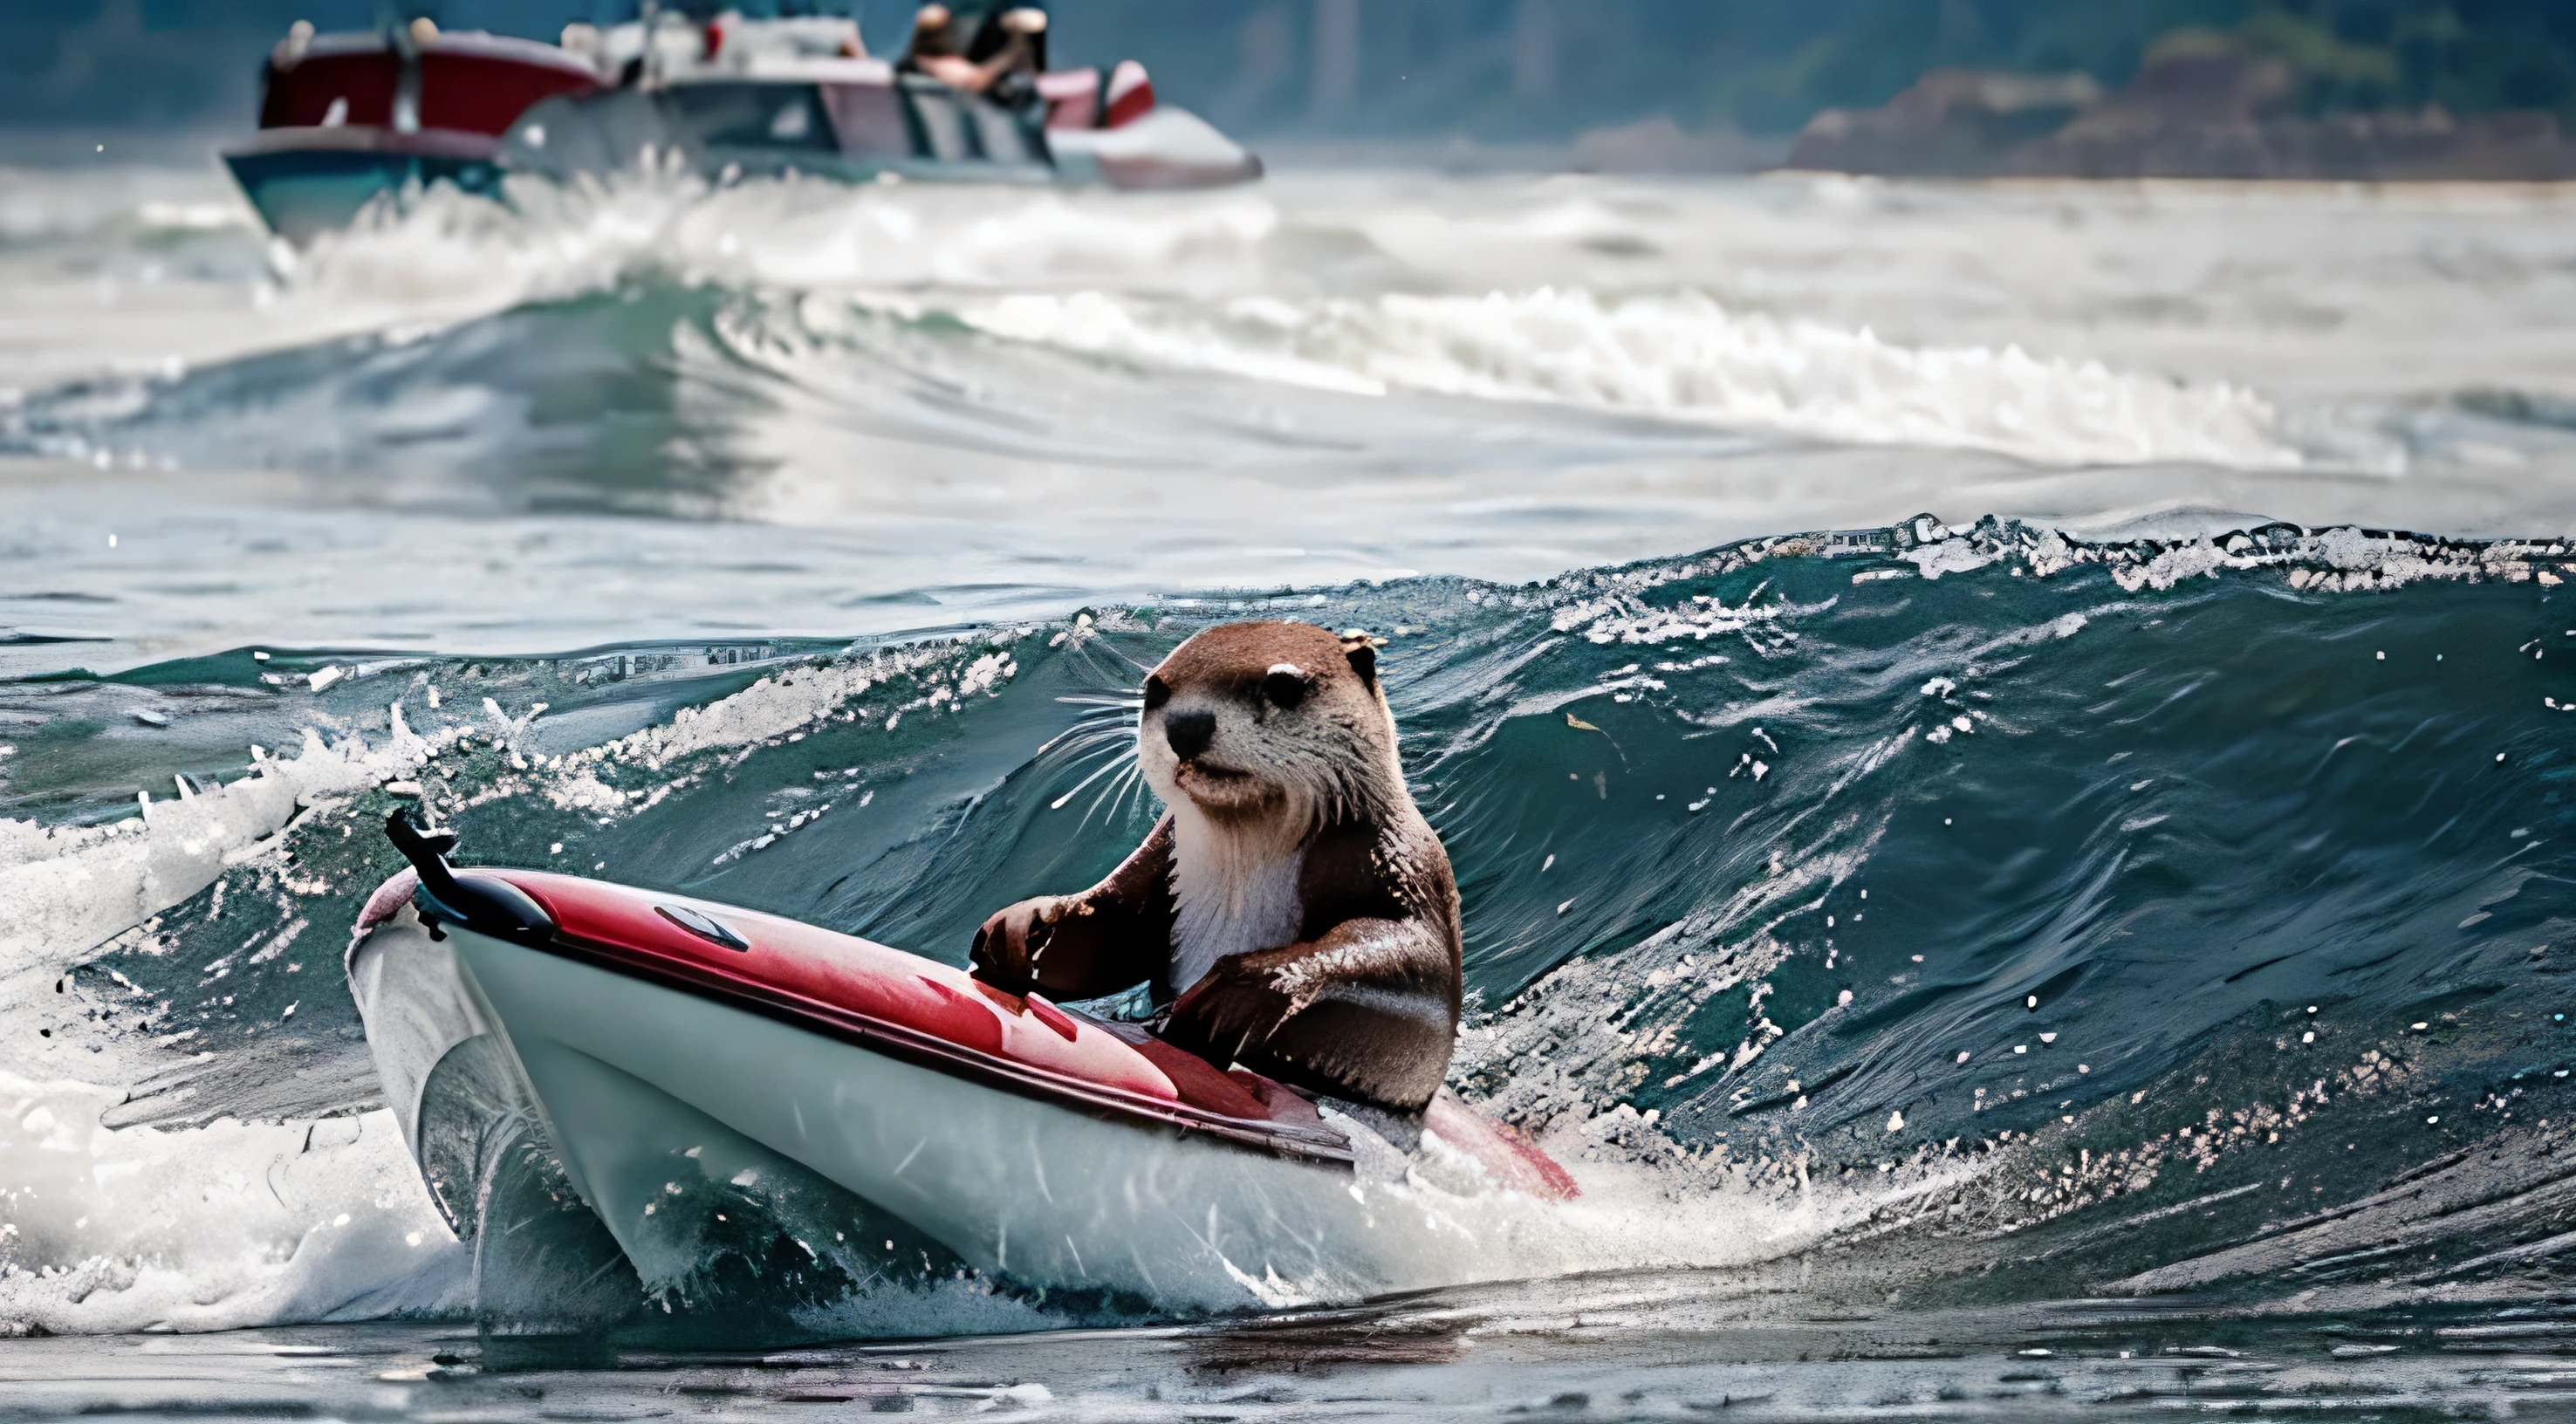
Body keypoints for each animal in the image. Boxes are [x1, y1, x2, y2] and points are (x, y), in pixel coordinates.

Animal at [968, 623, 1463, 1112]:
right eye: (1154, 689)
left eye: (1284, 686)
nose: (1187, 724)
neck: (1242, 888)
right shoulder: (1161, 854)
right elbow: (1109, 924)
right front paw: (1026, 926)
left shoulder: (1406, 864)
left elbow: (1425, 991)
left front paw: (1238, 994)